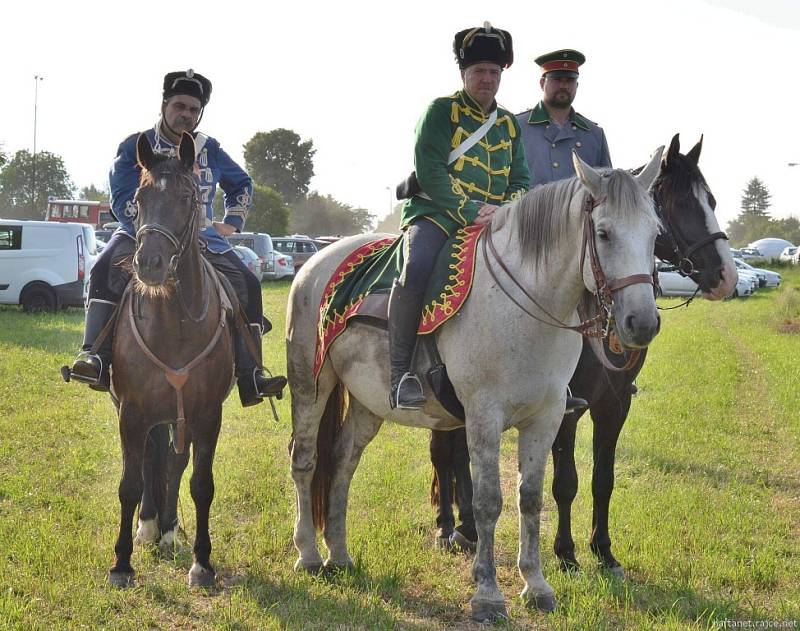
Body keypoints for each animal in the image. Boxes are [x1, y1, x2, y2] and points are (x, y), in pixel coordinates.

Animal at [106, 132, 233, 588]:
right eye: (139, 198)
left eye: (186, 196)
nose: (149, 264)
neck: (174, 322)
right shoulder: (131, 411)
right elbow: (129, 482)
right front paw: (121, 562)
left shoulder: (207, 414)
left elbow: (201, 483)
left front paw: (202, 562)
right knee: (150, 461)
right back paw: (148, 525)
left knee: (174, 463)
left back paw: (167, 529)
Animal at [288, 151, 664, 624]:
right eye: (604, 233)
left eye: (654, 233)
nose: (642, 323)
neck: (526, 307)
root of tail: (315, 261)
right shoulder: (484, 416)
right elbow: (488, 502)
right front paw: (487, 593)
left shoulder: (546, 418)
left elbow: (530, 498)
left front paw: (535, 585)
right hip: (310, 386)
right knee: (305, 462)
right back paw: (308, 555)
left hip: (368, 404)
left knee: (341, 463)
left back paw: (338, 555)